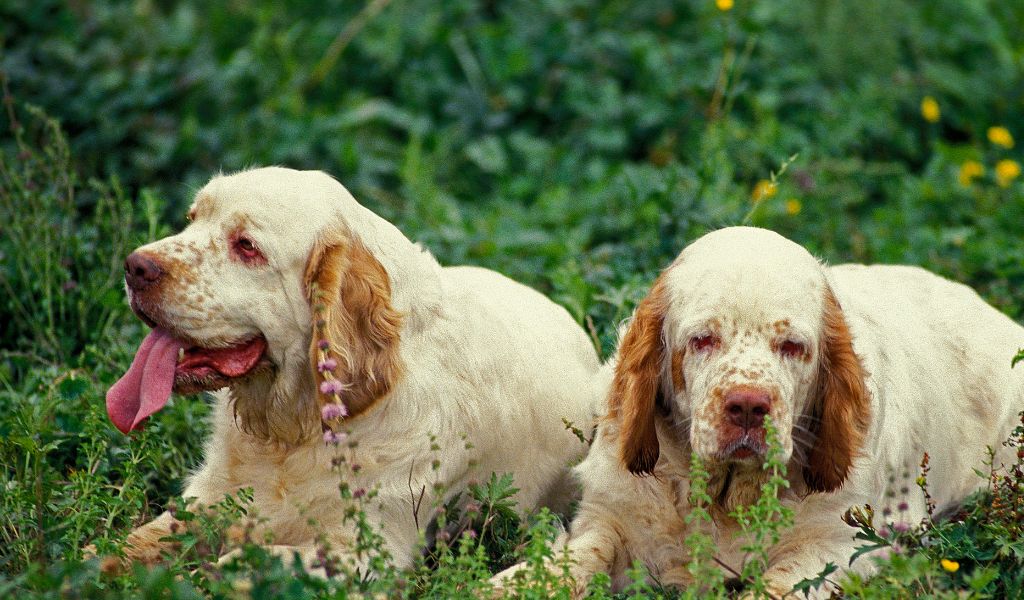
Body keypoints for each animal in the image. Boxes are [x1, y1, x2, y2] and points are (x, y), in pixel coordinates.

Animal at [99, 165, 602, 573]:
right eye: (192, 218)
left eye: (246, 246)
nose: (135, 266)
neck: (292, 431)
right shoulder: (204, 499)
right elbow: (124, 547)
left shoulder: (368, 548)